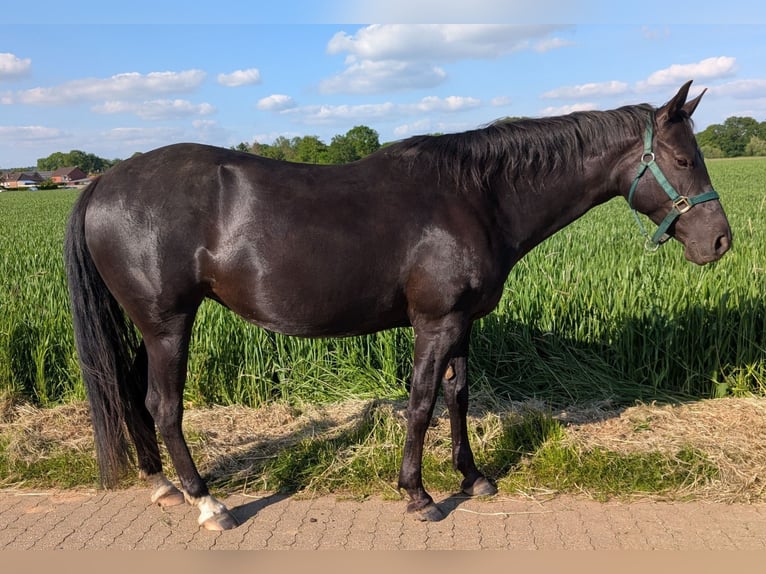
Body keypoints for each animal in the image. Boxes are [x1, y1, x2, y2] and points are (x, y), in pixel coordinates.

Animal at [64, 81, 731, 531]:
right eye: (681, 159)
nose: (721, 241)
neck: (476, 195)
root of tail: (103, 182)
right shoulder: (435, 323)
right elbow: (421, 403)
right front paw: (418, 495)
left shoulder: (463, 324)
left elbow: (459, 397)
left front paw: (474, 476)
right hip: (168, 323)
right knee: (164, 406)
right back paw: (207, 502)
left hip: (146, 326)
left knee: (133, 397)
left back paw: (161, 485)